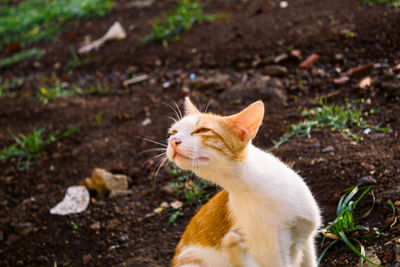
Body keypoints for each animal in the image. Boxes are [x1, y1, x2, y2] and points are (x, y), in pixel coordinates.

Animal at [166, 98, 322, 267]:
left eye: (202, 130)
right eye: (173, 132)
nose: (173, 141)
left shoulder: (307, 240)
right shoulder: (274, 257)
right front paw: (234, 247)